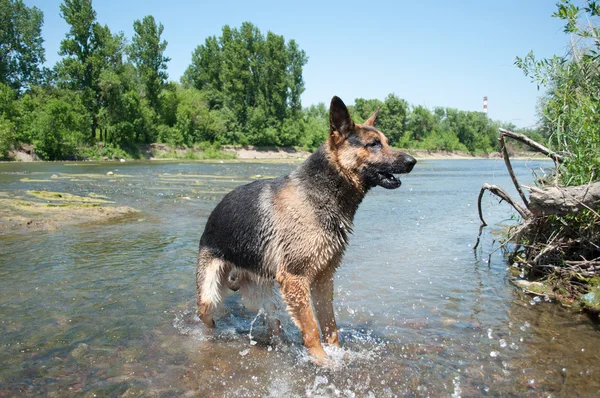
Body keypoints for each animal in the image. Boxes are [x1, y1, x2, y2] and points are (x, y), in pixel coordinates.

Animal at [197, 95, 418, 364]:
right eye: (374, 144)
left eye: (387, 142)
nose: (412, 161)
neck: (322, 193)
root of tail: (212, 217)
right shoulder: (296, 279)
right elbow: (311, 328)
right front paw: (323, 362)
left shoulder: (323, 279)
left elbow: (329, 324)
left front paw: (337, 353)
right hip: (209, 296)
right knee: (207, 318)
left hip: (263, 297)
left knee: (274, 322)